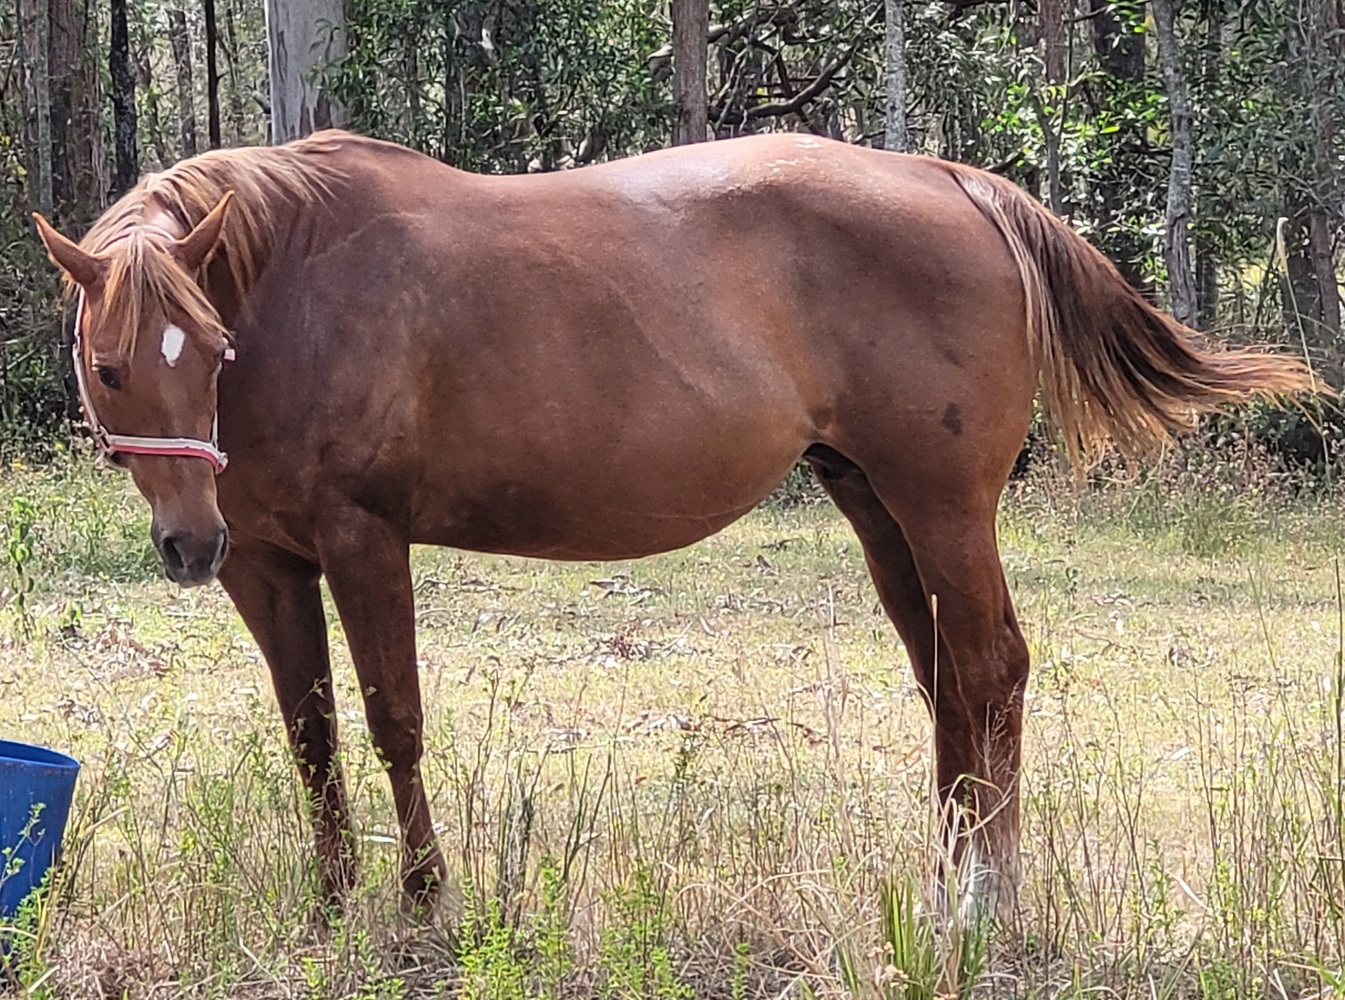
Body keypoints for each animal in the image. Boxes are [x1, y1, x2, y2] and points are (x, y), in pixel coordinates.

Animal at [34, 130, 1313, 920]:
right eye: (109, 364)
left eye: (210, 349)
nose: (183, 546)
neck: (294, 287)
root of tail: (952, 181)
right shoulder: (263, 565)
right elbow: (312, 734)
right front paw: (331, 900)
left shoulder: (362, 540)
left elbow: (393, 721)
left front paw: (425, 897)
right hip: (877, 506)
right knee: (950, 677)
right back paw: (943, 872)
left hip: (943, 506)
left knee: (992, 668)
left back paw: (980, 898)